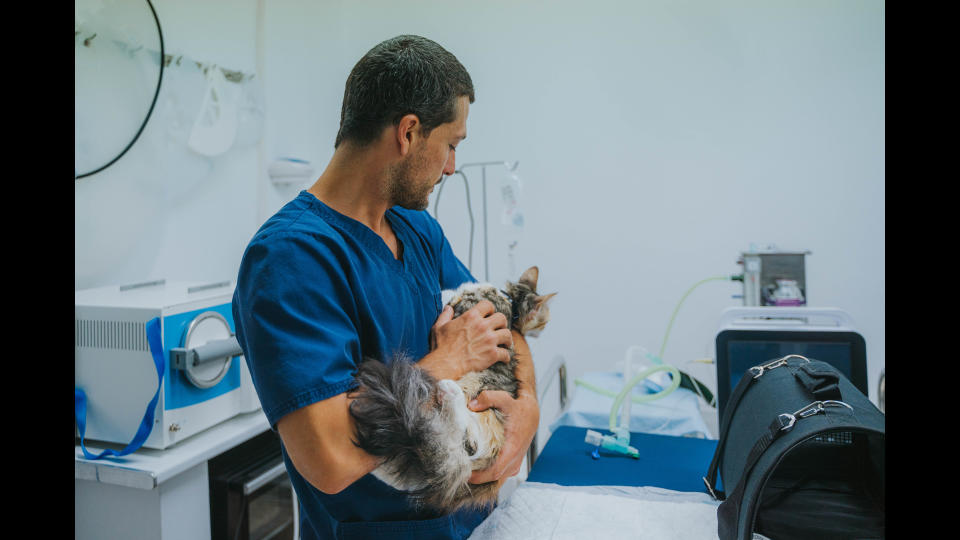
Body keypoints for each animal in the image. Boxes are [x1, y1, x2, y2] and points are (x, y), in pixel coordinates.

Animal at [346, 268, 556, 512]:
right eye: (543, 323)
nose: (541, 333)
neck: (507, 299)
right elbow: (454, 291)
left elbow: (451, 295)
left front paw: (445, 292)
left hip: (473, 421)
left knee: (463, 442)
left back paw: (448, 391)